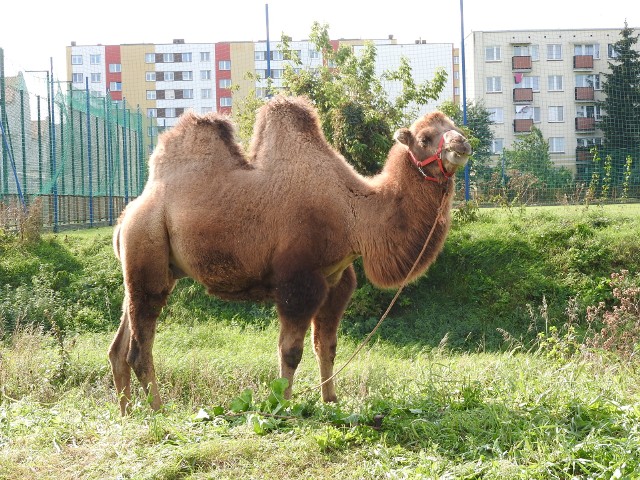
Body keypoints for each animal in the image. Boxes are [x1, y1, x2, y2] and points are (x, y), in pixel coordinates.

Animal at [109, 95, 470, 414]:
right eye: (425, 137)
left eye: (454, 126)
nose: (463, 144)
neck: (352, 214)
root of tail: (126, 217)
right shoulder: (298, 281)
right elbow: (291, 351)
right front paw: (283, 405)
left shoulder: (336, 280)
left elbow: (327, 346)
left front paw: (330, 401)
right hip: (147, 248)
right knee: (139, 347)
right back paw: (158, 410)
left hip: (147, 267)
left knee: (119, 345)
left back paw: (126, 413)